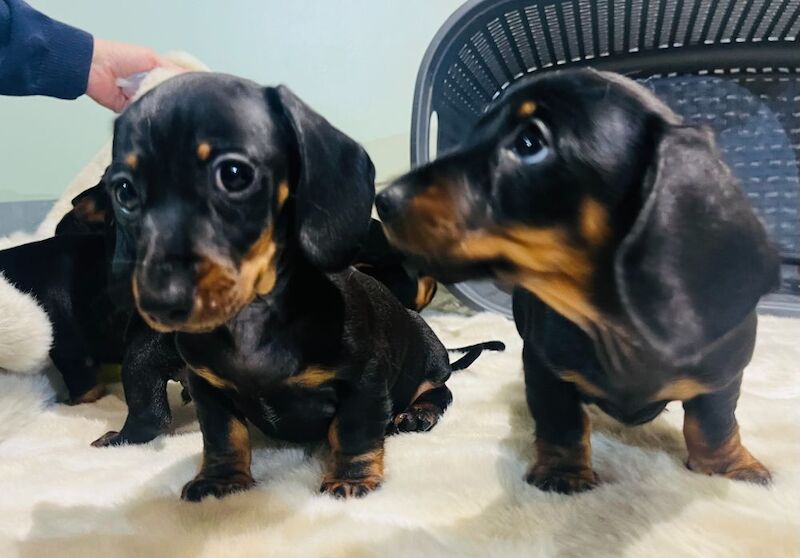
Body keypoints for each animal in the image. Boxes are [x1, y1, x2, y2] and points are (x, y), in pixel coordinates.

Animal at [102, 73, 496, 504]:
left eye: (234, 174)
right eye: (124, 191)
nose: (161, 303)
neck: (253, 318)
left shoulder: (363, 382)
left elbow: (354, 432)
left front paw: (351, 479)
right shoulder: (208, 388)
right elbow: (223, 436)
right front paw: (221, 480)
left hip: (426, 365)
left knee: (441, 392)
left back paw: (418, 413)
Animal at [376, 69, 780, 494]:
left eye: (529, 142)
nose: (383, 200)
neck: (617, 326)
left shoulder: (724, 375)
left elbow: (715, 422)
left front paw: (730, 468)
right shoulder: (547, 370)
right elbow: (562, 423)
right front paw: (564, 475)